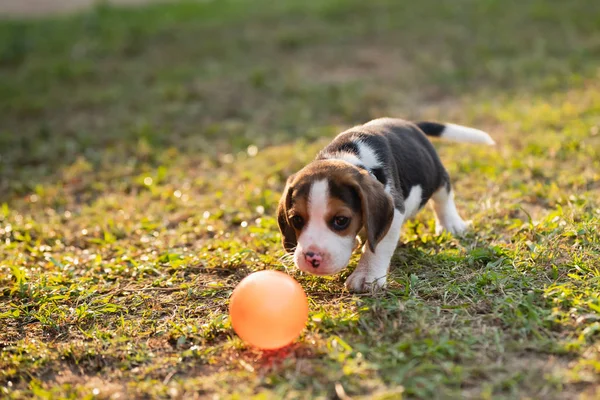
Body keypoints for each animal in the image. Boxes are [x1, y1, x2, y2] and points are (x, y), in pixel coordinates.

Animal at [276, 117, 492, 292]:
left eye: (341, 220)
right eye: (296, 219)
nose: (312, 258)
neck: (347, 157)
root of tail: (410, 123)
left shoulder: (394, 210)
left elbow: (377, 247)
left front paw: (366, 275)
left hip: (434, 175)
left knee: (443, 197)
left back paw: (451, 224)